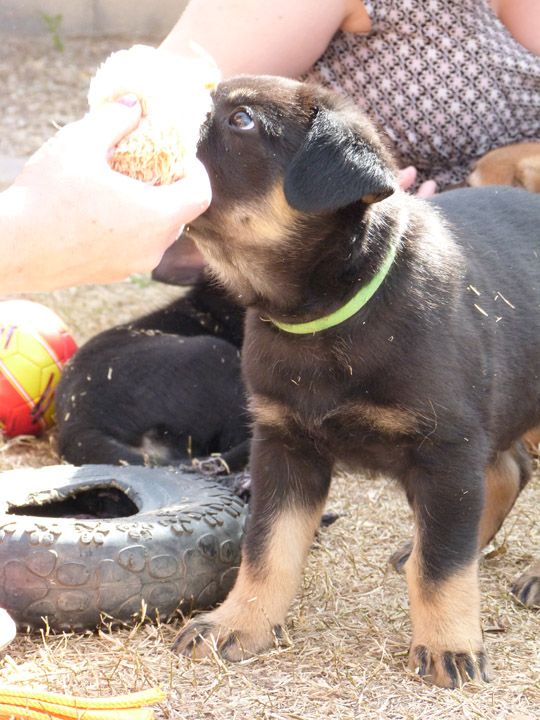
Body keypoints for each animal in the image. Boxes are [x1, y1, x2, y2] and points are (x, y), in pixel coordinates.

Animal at [167, 76, 540, 688]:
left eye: (242, 120)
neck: (327, 316)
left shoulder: (446, 448)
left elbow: (445, 565)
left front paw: (449, 646)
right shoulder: (284, 446)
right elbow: (266, 549)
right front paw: (238, 623)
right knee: (508, 470)